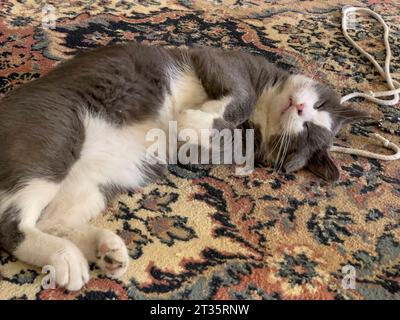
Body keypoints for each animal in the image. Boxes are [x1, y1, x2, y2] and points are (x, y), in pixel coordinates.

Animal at [0, 42, 368, 290]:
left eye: (304, 137)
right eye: (317, 109)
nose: (301, 108)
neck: (261, 115)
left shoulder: (209, 150)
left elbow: (224, 140)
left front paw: (197, 122)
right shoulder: (221, 60)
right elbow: (241, 93)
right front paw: (197, 117)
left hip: (94, 184)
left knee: (47, 221)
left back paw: (103, 251)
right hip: (59, 135)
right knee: (12, 223)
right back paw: (68, 257)